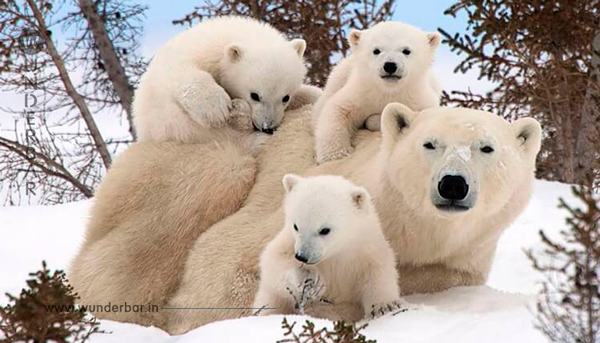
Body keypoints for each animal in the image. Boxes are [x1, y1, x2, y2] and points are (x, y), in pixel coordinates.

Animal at [134, 15, 322, 154]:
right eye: (254, 95)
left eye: (285, 97)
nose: (268, 127)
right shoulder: (191, 53)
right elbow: (180, 71)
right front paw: (216, 109)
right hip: (172, 126)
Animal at [253, 175, 404, 322]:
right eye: (295, 226)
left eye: (324, 230)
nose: (302, 256)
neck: (336, 253)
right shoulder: (289, 241)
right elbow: (273, 261)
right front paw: (311, 280)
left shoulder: (366, 249)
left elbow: (378, 271)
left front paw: (384, 307)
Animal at [314, 21, 440, 164]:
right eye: (376, 50)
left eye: (406, 50)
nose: (390, 65)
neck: (388, 91)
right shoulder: (361, 93)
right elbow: (338, 110)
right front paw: (335, 155)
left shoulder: (418, 99)